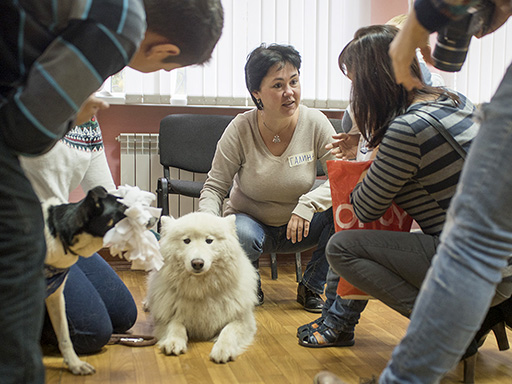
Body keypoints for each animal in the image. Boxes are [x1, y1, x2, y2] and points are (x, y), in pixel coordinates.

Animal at [146, 213, 258, 364]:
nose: (197, 263)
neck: (200, 290)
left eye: (209, 241)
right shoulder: (166, 318)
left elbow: (228, 330)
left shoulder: (243, 320)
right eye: (186, 240)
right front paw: (173, 341)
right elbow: (175, 325)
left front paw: (223, 349)